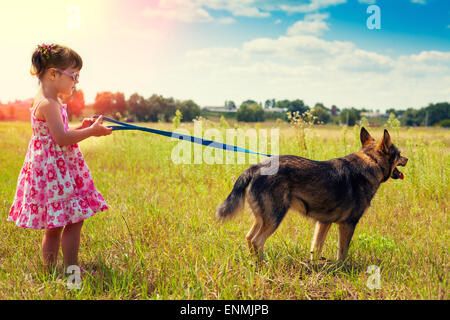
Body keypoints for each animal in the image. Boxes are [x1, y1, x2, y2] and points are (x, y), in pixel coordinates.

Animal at [214, 127, 408, 262]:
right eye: (399, 154)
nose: (407, 159)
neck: (371, 160)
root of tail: (256, 167)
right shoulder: (348, 224)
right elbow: (342, 252)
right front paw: (341, 268)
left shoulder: (324, 223)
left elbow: (316, 247)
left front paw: (314, 265)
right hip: (274, 217)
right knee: (257, 241)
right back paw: (264, 264)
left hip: (263, 218)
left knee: (249, 238)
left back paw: (254, 263)